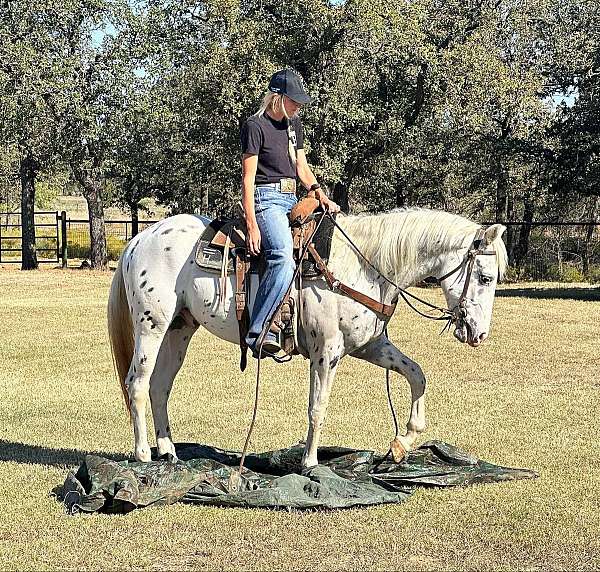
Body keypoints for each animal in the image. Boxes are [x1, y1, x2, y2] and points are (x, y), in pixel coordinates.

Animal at [108, 208, 506, 466]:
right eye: (485, 277)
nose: (480, 333)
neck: (363, 265)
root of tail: (138, 240)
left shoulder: (370, 346)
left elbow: (416, 374)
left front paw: (403, 441)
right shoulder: (325, 351)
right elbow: (318, 406)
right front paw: (311, 463)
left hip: (180, 328)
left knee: (159, 386)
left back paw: (169, 452)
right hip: (151, 325)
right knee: (137, 384)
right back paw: (143, 454)